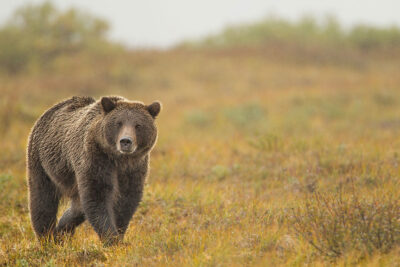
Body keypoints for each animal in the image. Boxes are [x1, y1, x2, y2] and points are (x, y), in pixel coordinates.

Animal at [25, 96, 161, 245]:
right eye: (118, 123)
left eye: (138, 125)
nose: (125, 141)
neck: (119, 160)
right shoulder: (96, 160)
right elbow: (97, 197)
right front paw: (111, 239)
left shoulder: (134, 168)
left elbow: (126, 201)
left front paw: (119, 235)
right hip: (42, 162)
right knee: (42, 200)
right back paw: (47, 238)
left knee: (78, 208)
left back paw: (62, 229)